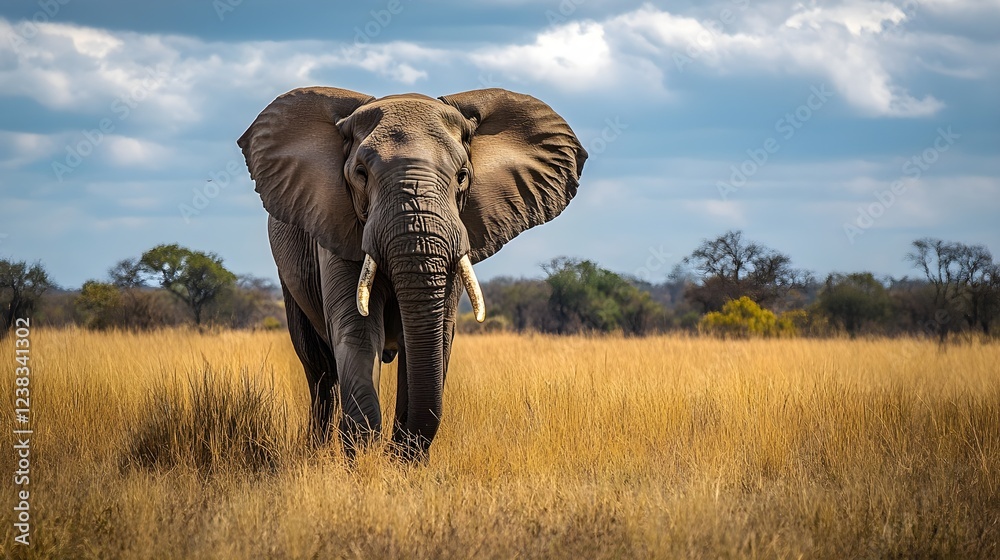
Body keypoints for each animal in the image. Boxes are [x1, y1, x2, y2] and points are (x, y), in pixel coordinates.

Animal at [238, 86, 587, 461]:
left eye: (462, 175)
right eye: (361, 173)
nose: (393, 453)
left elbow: (435, 337)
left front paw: (402, 462)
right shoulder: (336, 226)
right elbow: (358, 330)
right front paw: (363, 459)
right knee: (318, 368)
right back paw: (316, 452)